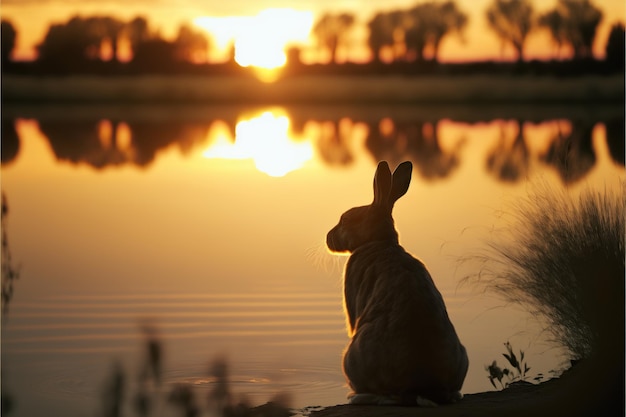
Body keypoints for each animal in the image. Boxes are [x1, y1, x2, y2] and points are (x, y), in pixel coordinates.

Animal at [324, 160, 466, 406]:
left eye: (346, 220)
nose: (327, 238)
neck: (380, 240)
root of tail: (421, 385)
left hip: (350, 358)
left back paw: (355, 396)